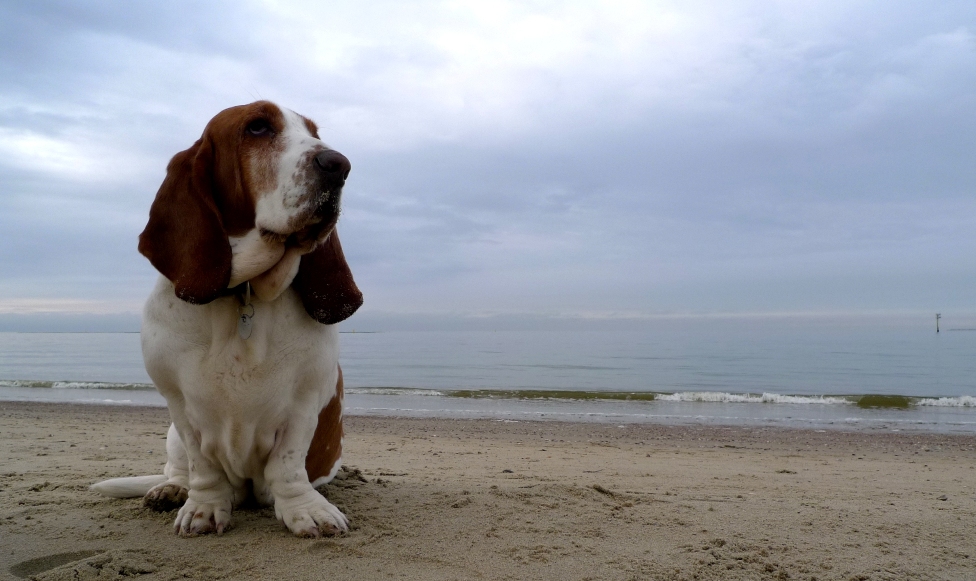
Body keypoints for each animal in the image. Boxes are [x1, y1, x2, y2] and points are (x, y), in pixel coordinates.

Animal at [91, 101, 362, 540]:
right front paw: (202, 507)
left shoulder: (304, 401)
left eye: (313, 132)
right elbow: (203, 467)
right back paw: (168, 490)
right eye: (257, 127)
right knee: (178, 470)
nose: (339, 165)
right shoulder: (179, 406)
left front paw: (306, 510)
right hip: (170, 437)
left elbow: (288, 465)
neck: (244, 295)